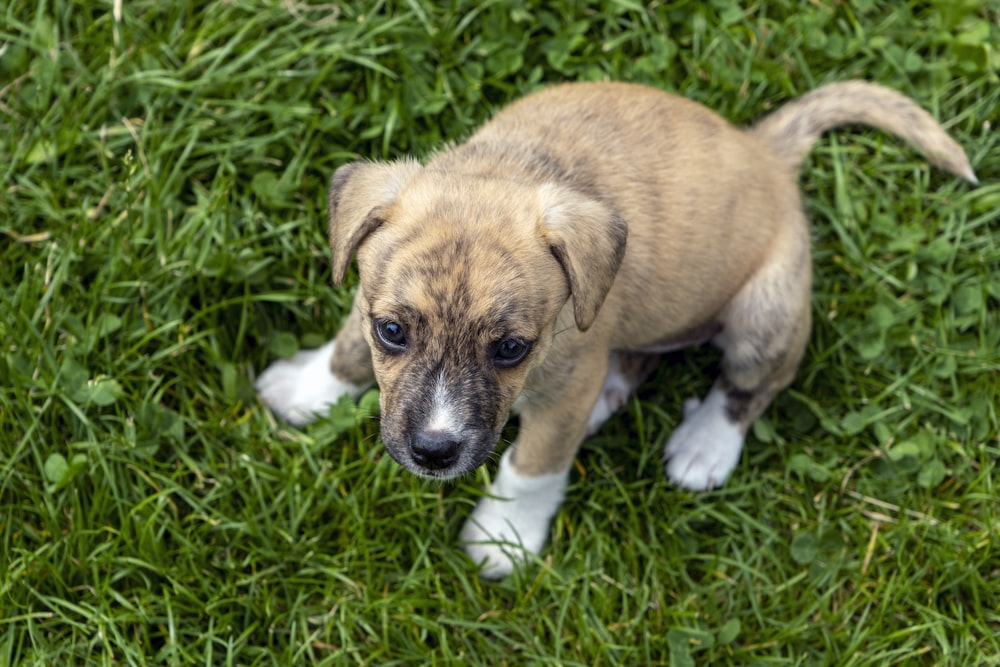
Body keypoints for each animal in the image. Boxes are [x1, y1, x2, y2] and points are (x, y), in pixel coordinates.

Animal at [256, 79, 976, 580]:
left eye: (510, 349)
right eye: (393, 331)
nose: (435, 451)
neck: (514, 167)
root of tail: (766, 151)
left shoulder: (564, 383)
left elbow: (532, 467)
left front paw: (503, 537)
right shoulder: (369, 301)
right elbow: (347, 349)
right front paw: (306, 388)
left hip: (765, 314)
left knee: (750, 385)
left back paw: (705, 444)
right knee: (639, 359)